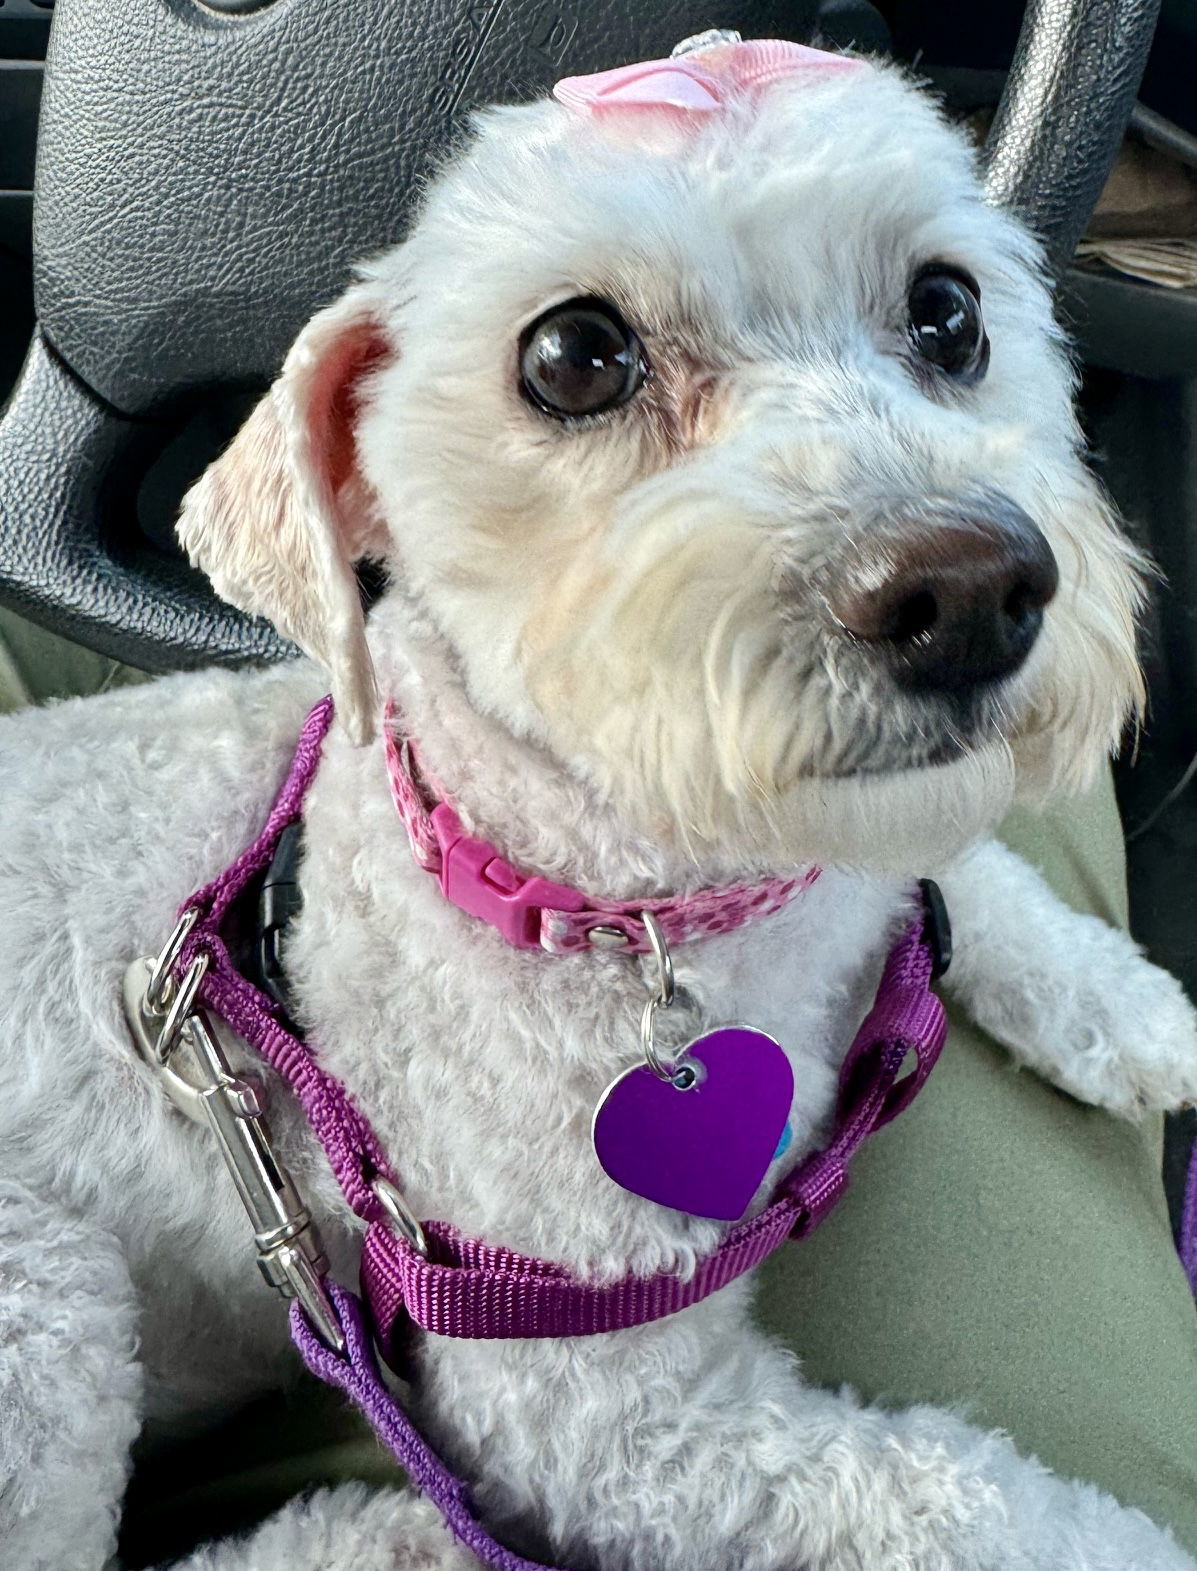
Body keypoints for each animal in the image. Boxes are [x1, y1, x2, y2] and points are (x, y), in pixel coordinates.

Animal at [2, 33, 1193, 1571]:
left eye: (948, 312)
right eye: (574, 358)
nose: (974, 588)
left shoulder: (860, 850)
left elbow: (965, 872)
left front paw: (1133, 1007)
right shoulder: (600, 1409)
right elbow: (972, 1499)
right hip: (48, 1309)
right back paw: (371, 1534)